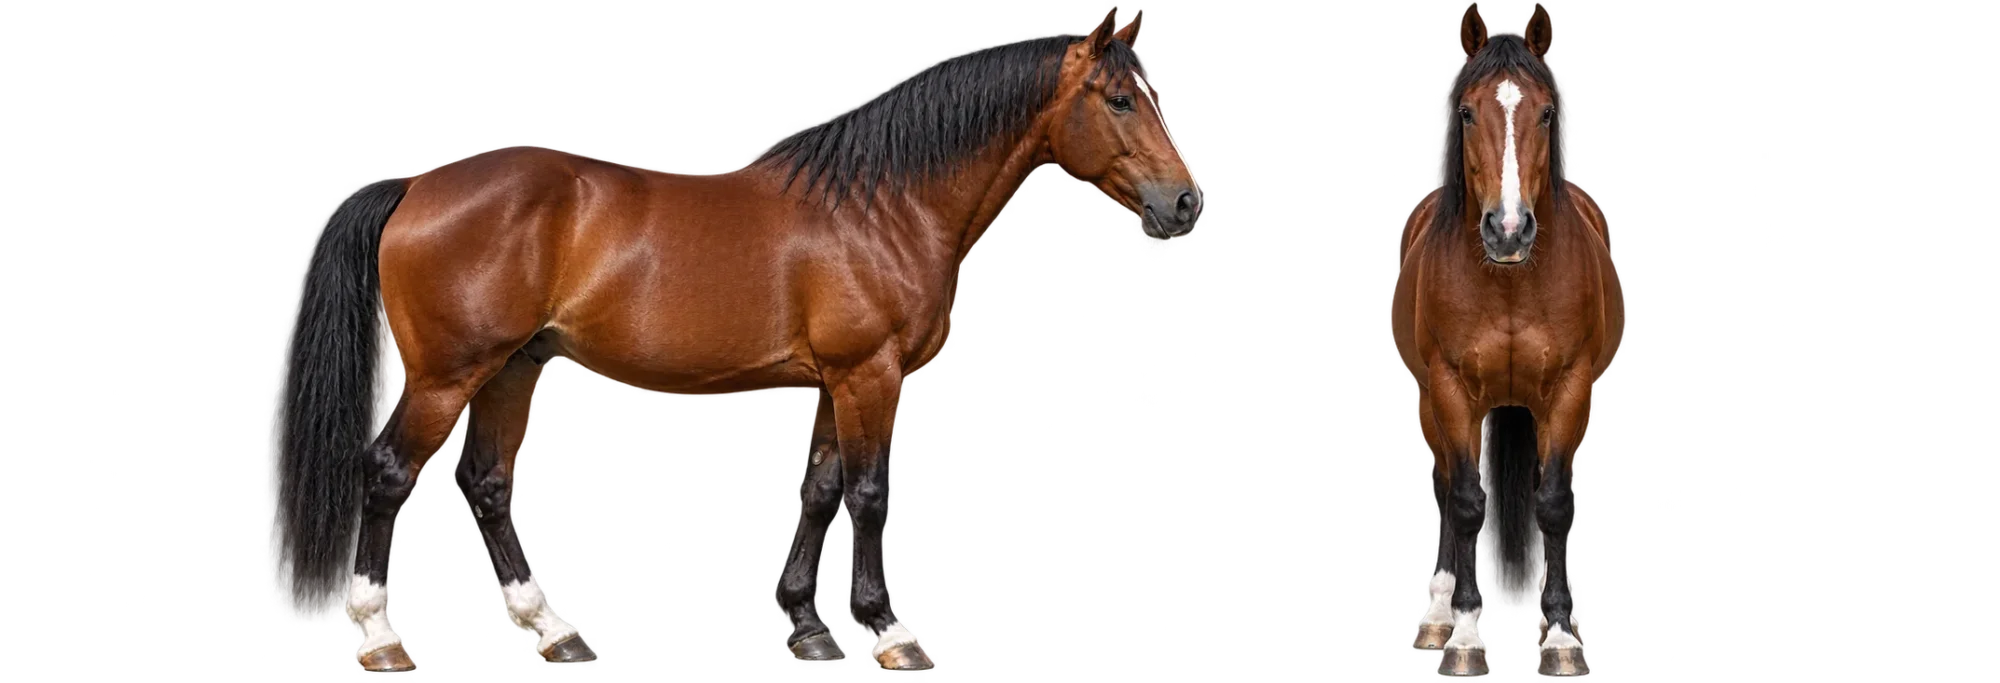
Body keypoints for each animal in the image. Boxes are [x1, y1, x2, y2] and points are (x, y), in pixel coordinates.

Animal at [263, 4, 1203, 674]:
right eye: (1121, 99)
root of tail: (415, 184)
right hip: (447, 376)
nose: (1187, 203)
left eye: (1152, 94)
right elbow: (869, 494)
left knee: (488, 484)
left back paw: (555, 631)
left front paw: (809, 630)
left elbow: (818, 490)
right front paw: (889, 632)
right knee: (389, 476)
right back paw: (380, 637)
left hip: (512, 369)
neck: (884, 209)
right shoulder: (870, 376)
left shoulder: (832, 382)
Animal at [1389, 2, 1624, 678]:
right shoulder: (1449, 390)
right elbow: (1467, 501)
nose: (1509, 229)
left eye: (1546, 112)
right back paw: (1438, 615)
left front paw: (1562, 636)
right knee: (1446, 490)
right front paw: (1466, 638)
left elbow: (1554, 501)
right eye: (1468, 112)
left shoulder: (1572, 389)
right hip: (1430, 403)